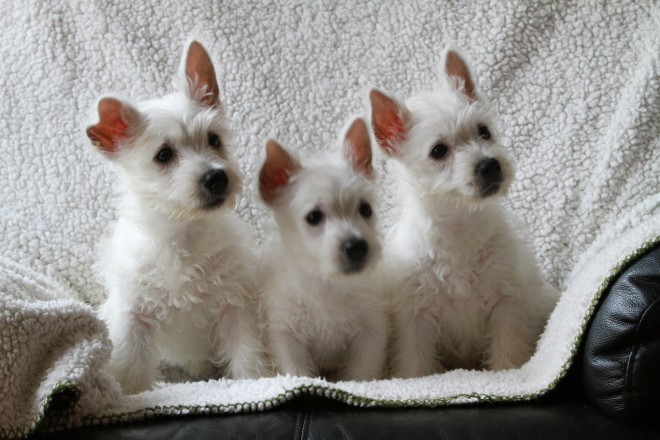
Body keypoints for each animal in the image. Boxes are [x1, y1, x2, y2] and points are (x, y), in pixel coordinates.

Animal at [87, 39, 268, 394]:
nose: (216, 178)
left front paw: (255, 383)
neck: (182, 232)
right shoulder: (134, 316)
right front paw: (132, 395)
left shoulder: (234, 306)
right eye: (164, 155)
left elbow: (247, 355)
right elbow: (131, 370)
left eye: (214, 139)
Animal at [258, 117, 390, 382]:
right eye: (313, 217)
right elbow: (297, 371)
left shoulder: (369, 332)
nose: (356, 246)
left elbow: (362, 373)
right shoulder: (286, 334)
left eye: (366, 209)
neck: (328, 284)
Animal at [368, 48, 560, 378]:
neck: (459, 226)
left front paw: (507, 373)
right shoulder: (416, 317)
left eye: (484, 132)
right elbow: (415, 362)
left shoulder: (506, 303)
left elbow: (507, 350)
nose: (490, 165)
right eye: (438, 151)